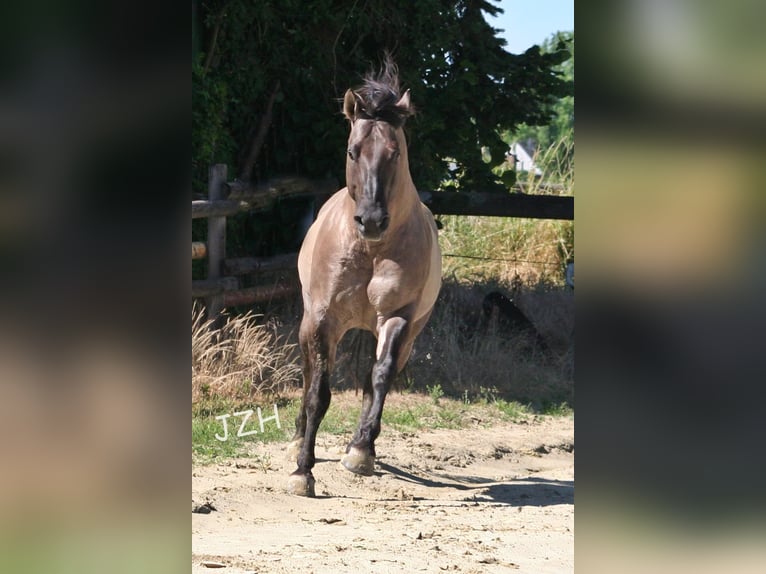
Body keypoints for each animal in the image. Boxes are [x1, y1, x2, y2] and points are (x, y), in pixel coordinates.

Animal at [285, 60, 442, 497]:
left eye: (396, 152)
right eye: (352, 151)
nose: (371, 220)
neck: (370, 251)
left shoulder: (398, 317)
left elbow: (380, 378)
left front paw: (359, 454)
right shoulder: (323, 321)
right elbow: (318, 393)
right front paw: (303, 472)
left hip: (405, 332)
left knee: (377, 379)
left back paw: (362, 445)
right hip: (310, 325)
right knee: (309, 375)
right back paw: (297, 439)